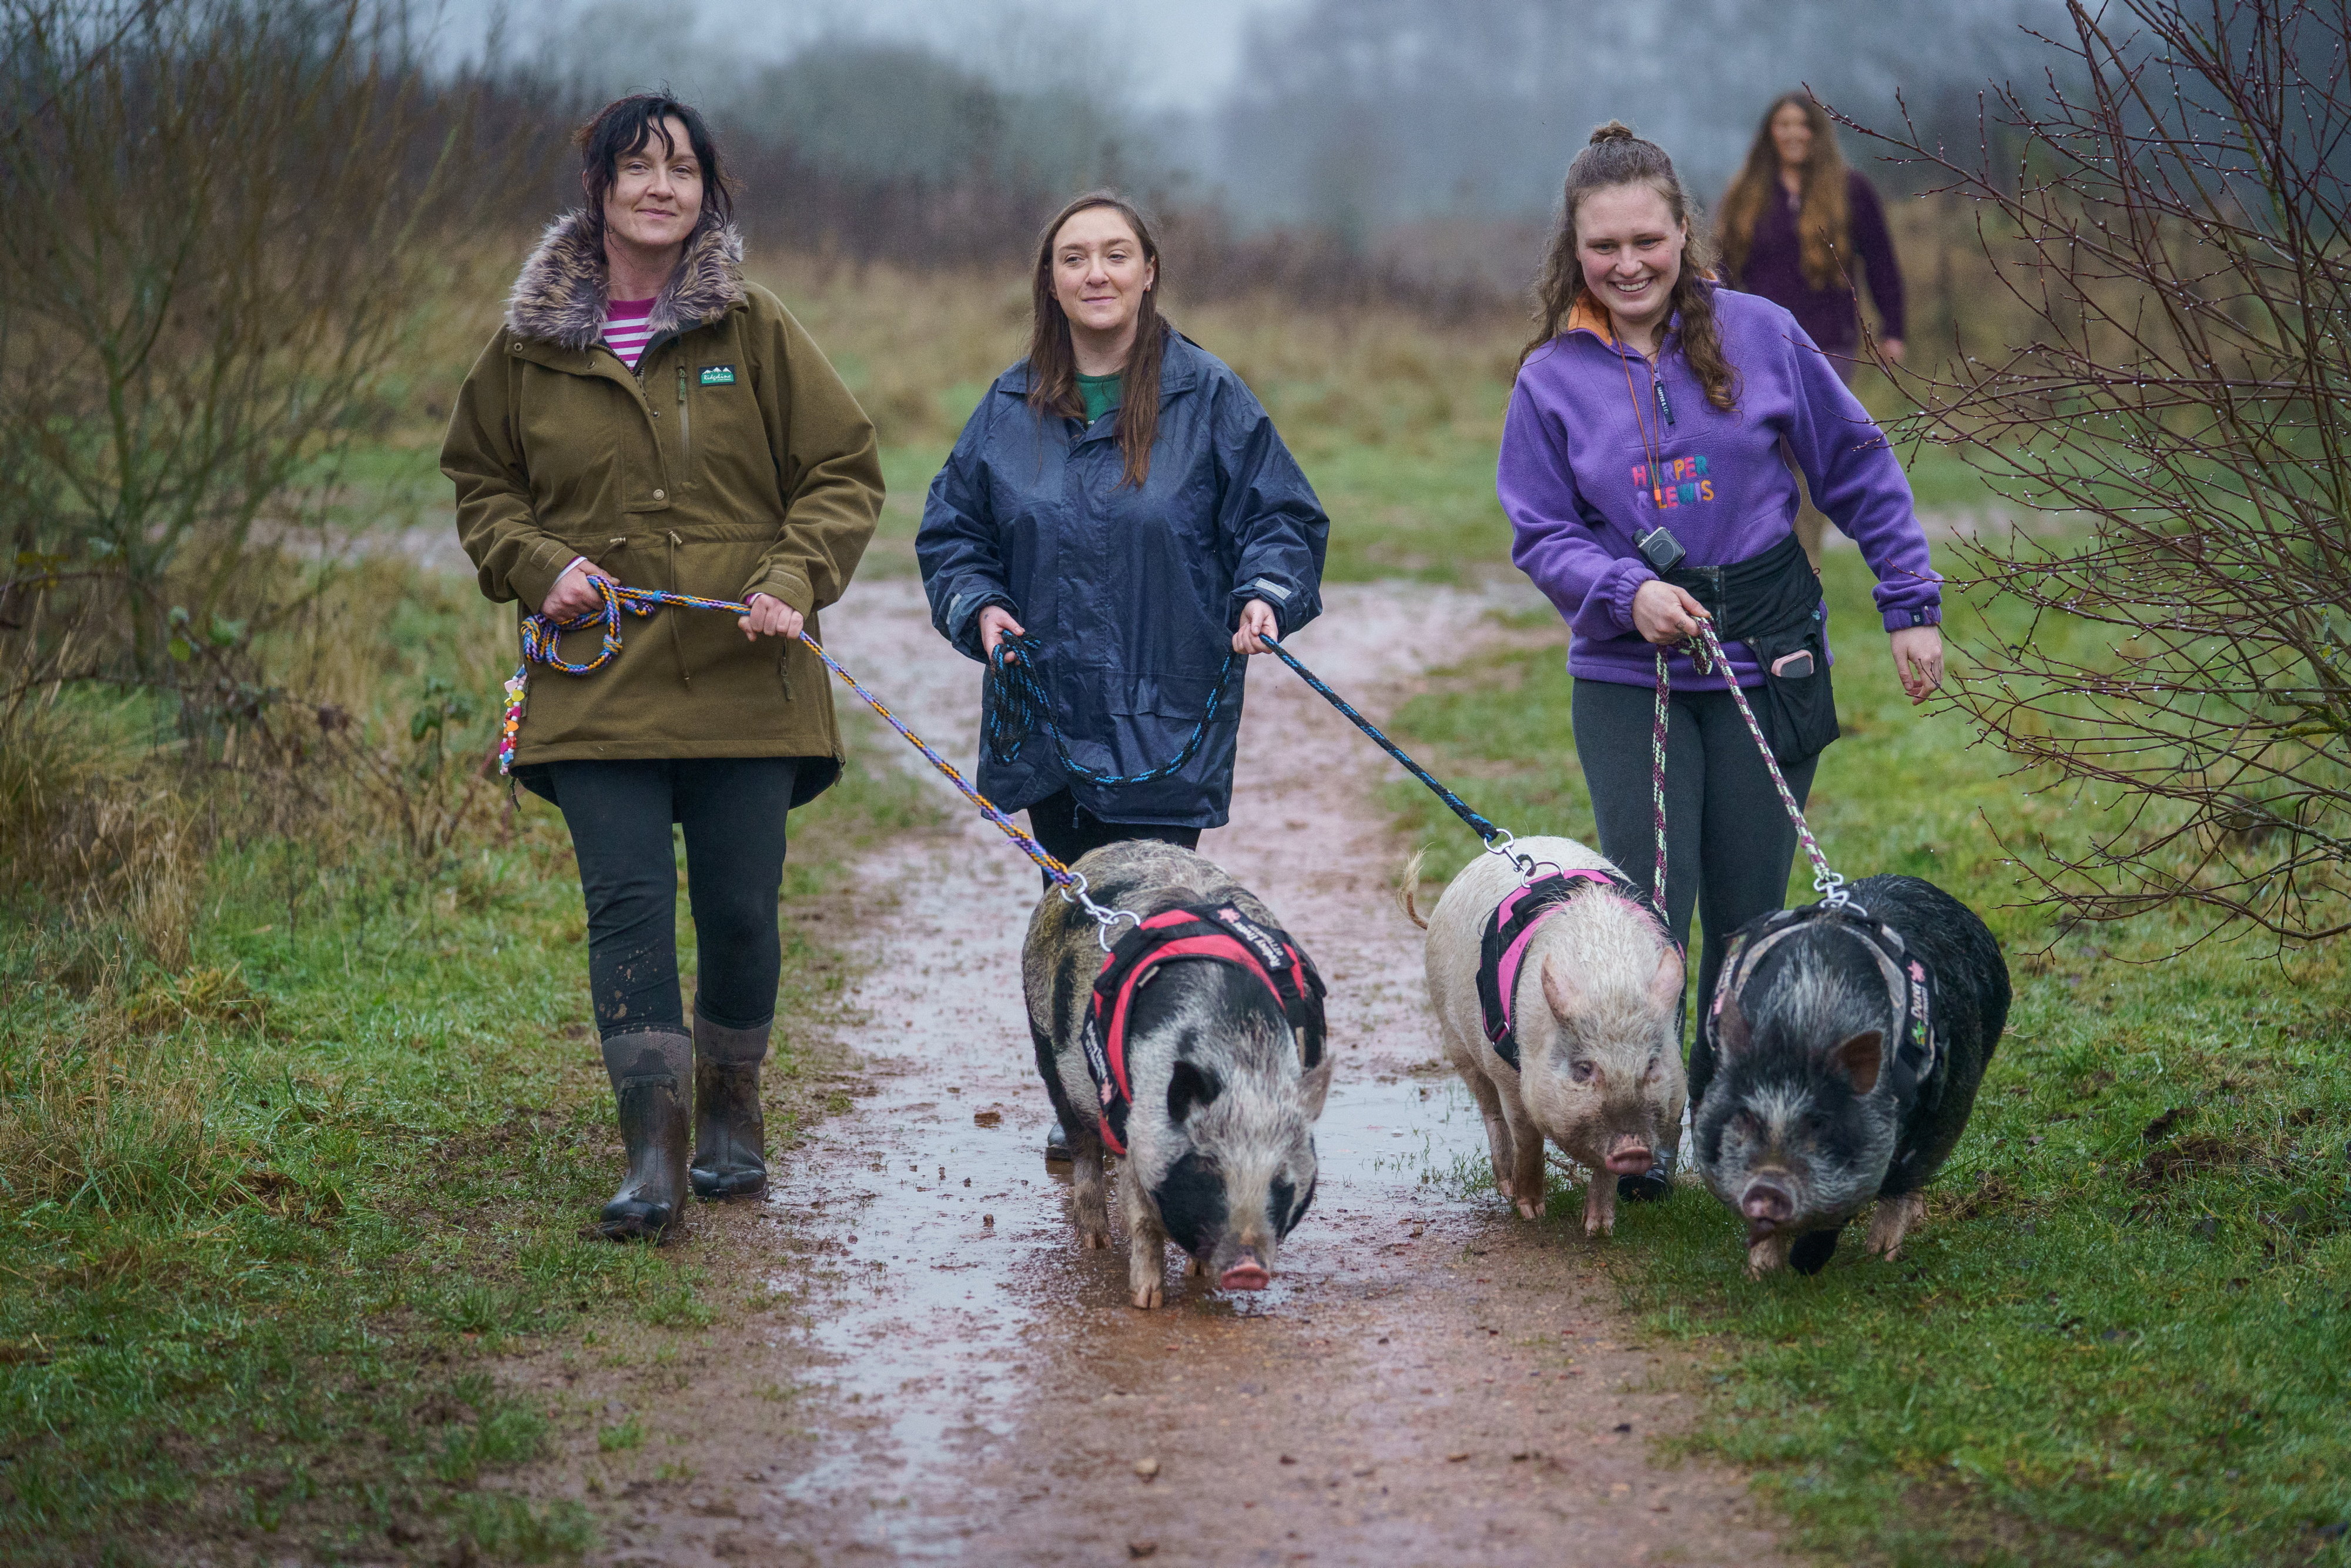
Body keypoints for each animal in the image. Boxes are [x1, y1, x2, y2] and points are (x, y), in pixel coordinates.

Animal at [1024, 840, 1333, 1309]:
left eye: (1281, 1180)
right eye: (1208, 1171)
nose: (1248, 1271)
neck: (1244, 1062)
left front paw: (1198, 1274)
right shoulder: (1132, 1125)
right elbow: (1141, 1218)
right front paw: (1147, 1302)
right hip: (1045, 1046)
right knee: (1082, 1149)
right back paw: (1095, 1243)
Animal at [1415, 835, 1686, 1237]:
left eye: (1652, 1065)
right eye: (1584, 1069)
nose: (1633, 1151)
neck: (1609, 987)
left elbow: (1603, 1169)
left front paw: (1598, 1230)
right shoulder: (1509, 1072)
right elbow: (1527, 1136)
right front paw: (1530, 1212)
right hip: (1455, 1038)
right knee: (1488, 1107)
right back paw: (1505, 1185)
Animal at [1691, 874, 2008, 1277]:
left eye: (1820, 1123)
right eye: (1745, 1117)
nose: (1768, 1187)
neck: (1802, 1027)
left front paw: (1809, 1265)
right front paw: (1762, 1275)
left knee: (1910, 1178)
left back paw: (1884, 1251)